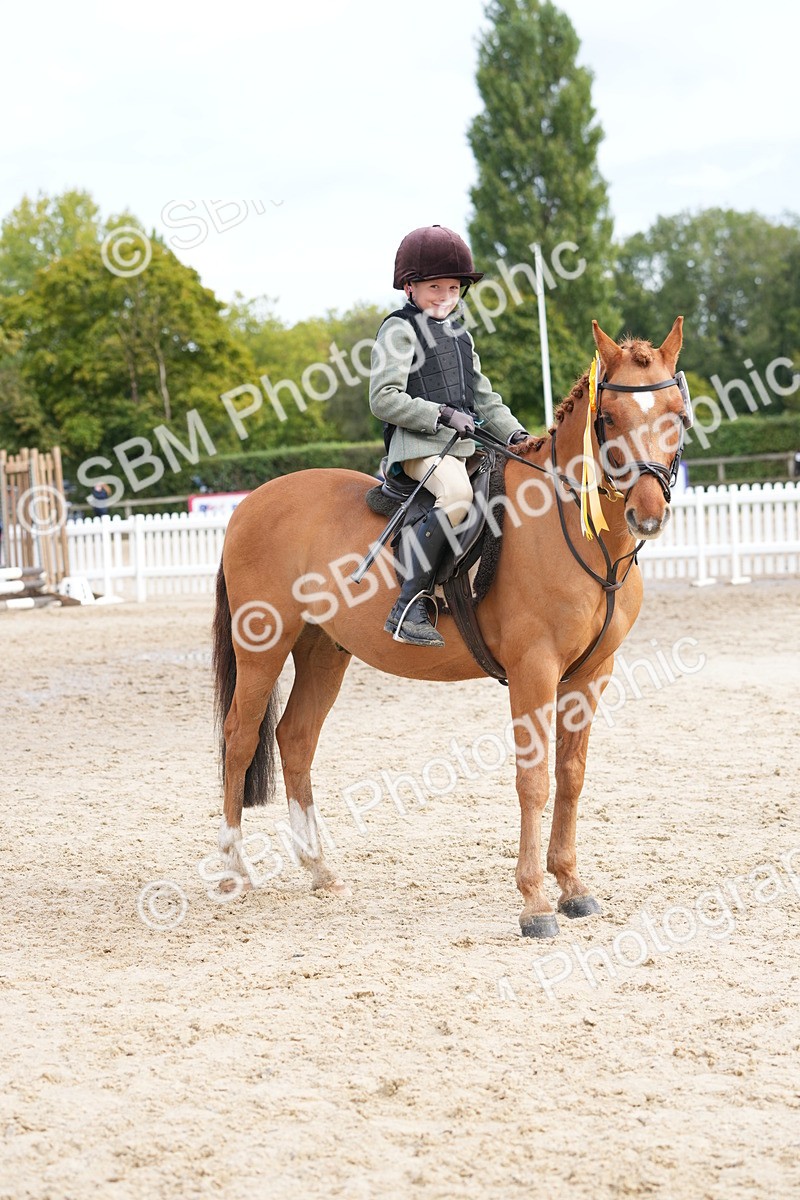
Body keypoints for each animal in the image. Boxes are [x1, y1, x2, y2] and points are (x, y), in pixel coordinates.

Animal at [211, 317, 691, 938]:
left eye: (677, 413)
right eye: (608, 417)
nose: (647, 515)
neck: (570, 526)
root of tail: (249, 504)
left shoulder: (590, 675)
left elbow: (571, 775)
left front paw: (572, 887)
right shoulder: (534, 670)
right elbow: (533, 779)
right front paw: (535, 903)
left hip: (324, 649)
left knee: (295, 739)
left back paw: (320, 871)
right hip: (262, 648)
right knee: (240, 738)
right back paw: (233, 872)